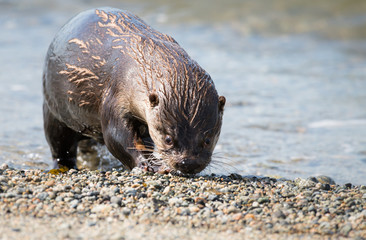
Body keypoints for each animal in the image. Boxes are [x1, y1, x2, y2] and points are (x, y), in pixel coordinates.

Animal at [43, 6, 226, 173]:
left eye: (208, 140)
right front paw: (149, 164)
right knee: (59, 146)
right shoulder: (115, 95)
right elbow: (116, 137)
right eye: (168, 139)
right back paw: (63, 166)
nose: (188, 163)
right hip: (54, 114)